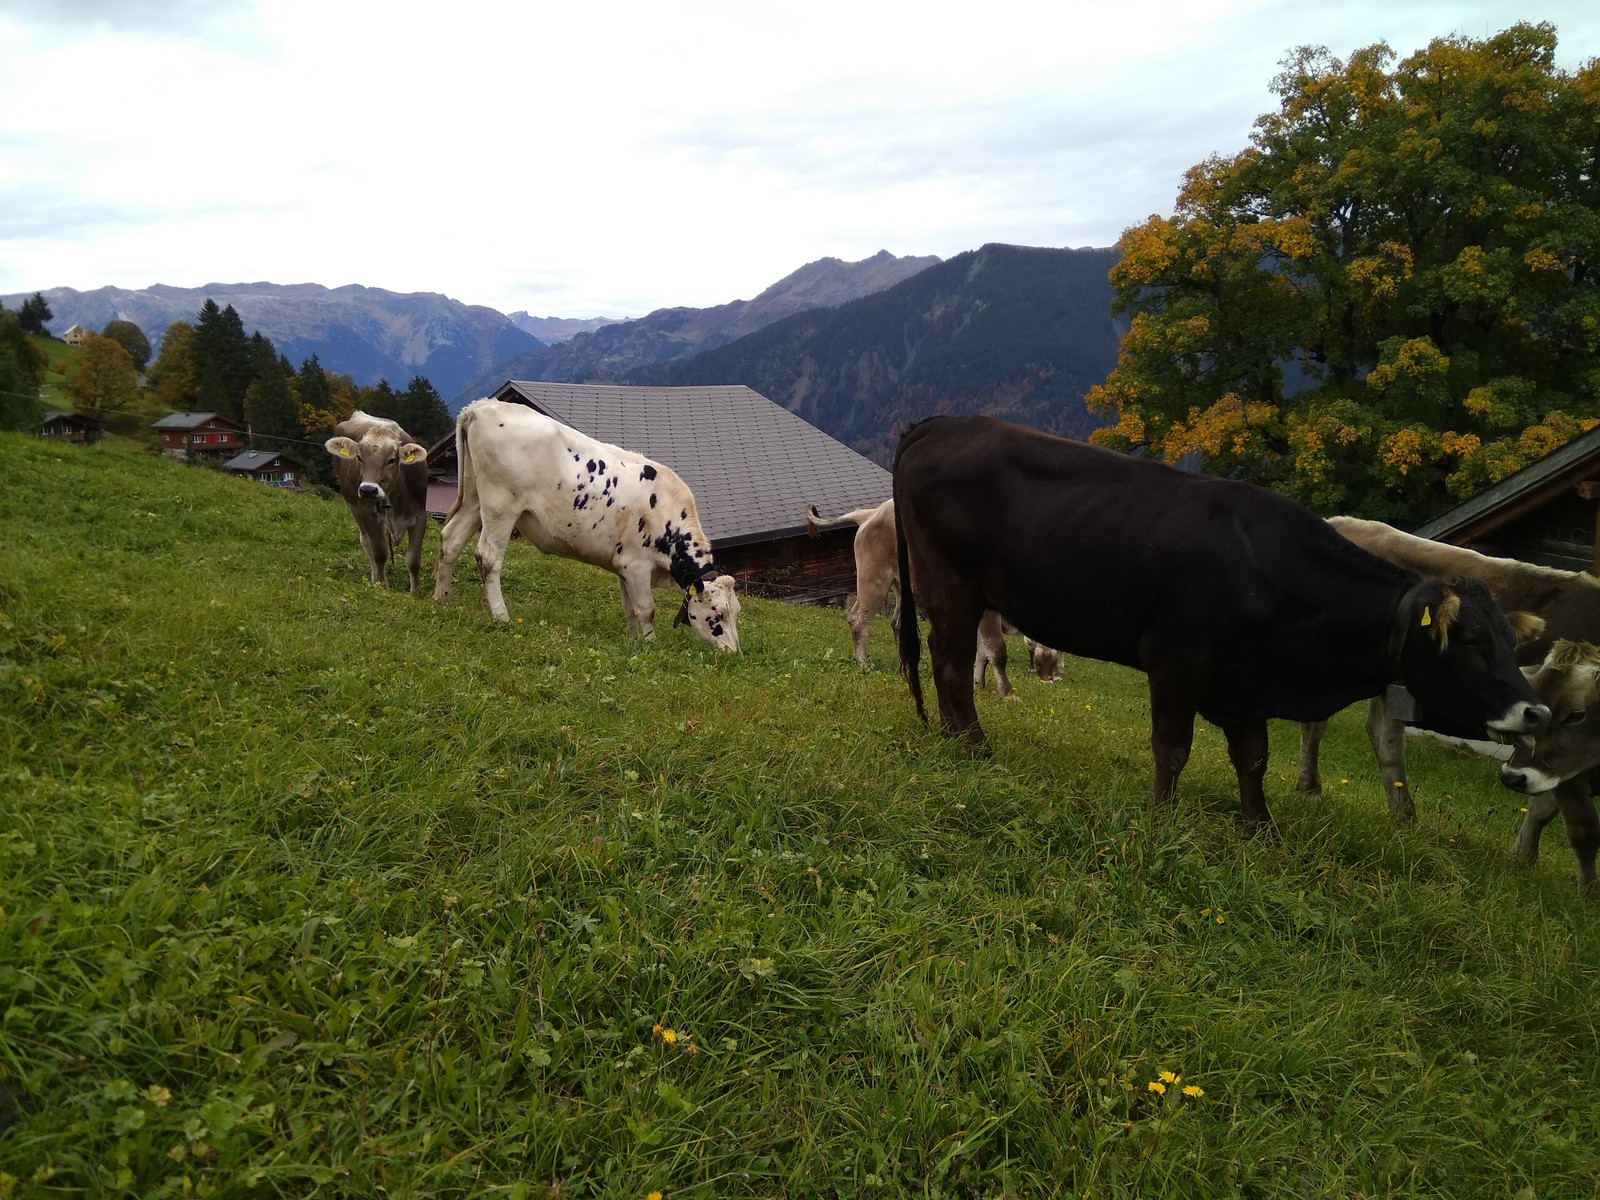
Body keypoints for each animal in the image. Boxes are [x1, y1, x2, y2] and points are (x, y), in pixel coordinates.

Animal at [323, 412, 432, 598]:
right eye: (359, 458)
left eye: (391, 460)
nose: (368, 489)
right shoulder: (367, 512)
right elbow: (379, 552)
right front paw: (382, 587)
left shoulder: (420, 516)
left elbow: (413, 559)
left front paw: (416, 594)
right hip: (355, 508)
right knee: (367, 542)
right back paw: (375, 578)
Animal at [435, 400, 739, 652]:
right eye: (718, 614)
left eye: (735, 612)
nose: (733, 652)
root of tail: (480, 406)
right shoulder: (637, 566)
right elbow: (646, 609)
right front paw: (650, 644)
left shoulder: (623, 566)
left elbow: (629, 607)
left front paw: (633, 640)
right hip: (501, 505)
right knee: (488, 557)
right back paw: (501, 615)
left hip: (474, 498)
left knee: (450, 540)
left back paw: (441, 600)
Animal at [896, 416, 1542, 825]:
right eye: (1470, 639)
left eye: (1510, 642)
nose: (1536, 711)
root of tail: (947, 420)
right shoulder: (1176, 662)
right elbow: (1172, 747)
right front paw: (1162, 817)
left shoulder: (1244, 686)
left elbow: (1253, 758)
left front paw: (1260, 828)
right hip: (953, 582)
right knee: (951, 662)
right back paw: (974, 745)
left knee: (943, 657)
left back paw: (954, 736)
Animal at [1299, 512, 1587, 825]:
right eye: (1470, 640)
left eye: (1513, 644)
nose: (1538, 714)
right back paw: (1312, 791)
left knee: (1383, 736)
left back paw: (1404, 818)